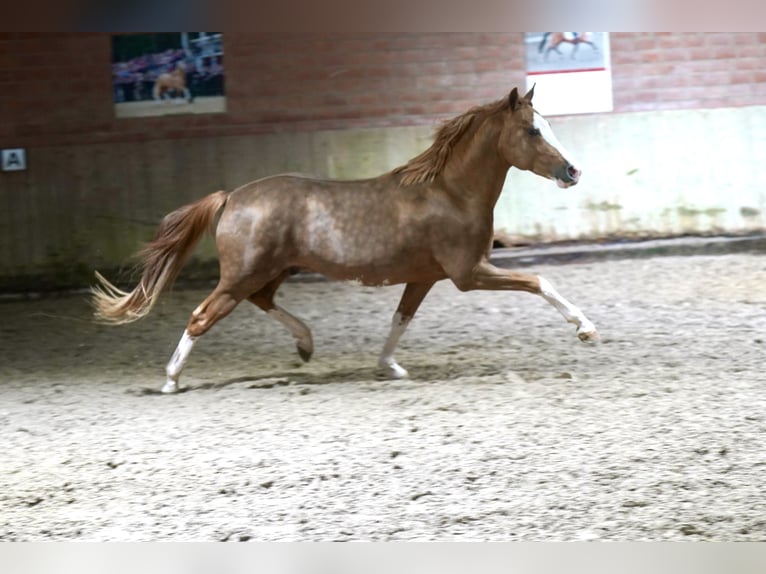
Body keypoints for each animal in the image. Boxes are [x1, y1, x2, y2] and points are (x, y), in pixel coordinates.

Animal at [94, 86, 600, 396]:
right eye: (533, 130)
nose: (574, 171)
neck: (451, 193)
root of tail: (232, 196)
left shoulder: (425, 277)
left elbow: (401, 319)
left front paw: (390, 367)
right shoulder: (469, 273)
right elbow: (539, 281)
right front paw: (585, 329)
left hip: (272, 270)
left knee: (262, 301)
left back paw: (305, 345)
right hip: (243, 274)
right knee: (202, 316)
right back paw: (171, 380)